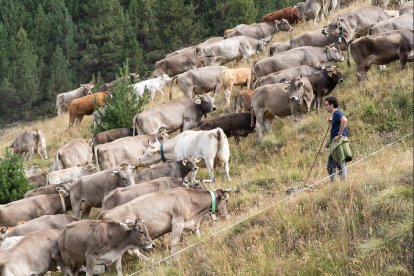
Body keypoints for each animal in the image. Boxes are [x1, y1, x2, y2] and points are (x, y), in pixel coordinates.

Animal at [99, 188, 231, 254]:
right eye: (226, 201)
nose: (227, 216)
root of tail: (106, 212)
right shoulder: (177, 222)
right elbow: (174, 243)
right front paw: (173, 258)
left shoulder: (193, 224)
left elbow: (198, 236)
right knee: (134, 251)